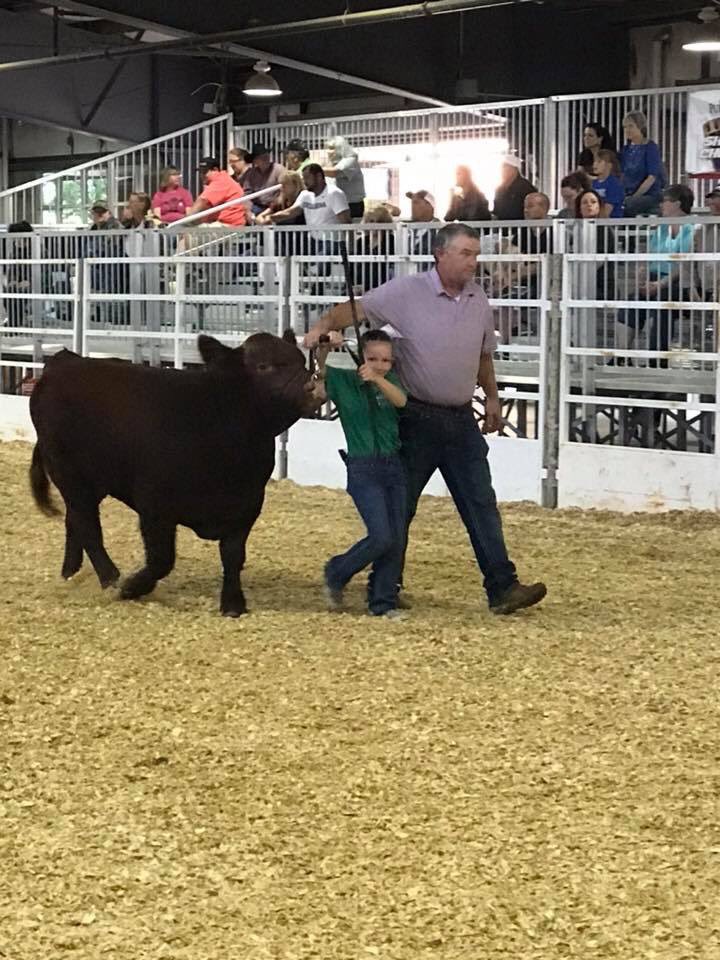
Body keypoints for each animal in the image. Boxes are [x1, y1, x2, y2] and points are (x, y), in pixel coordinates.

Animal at [29, 332, 320, 616]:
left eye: (301, 360)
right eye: (264, 366)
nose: (313, 386)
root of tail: (66, 361)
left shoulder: (247, 506)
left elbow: (233, 556)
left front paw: (233, 603)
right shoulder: (155, 507)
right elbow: (162, 560)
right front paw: (131, 587)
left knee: (74, 521)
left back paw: (70, 573)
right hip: (71, 477)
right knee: (88, 527)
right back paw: (111, 580)